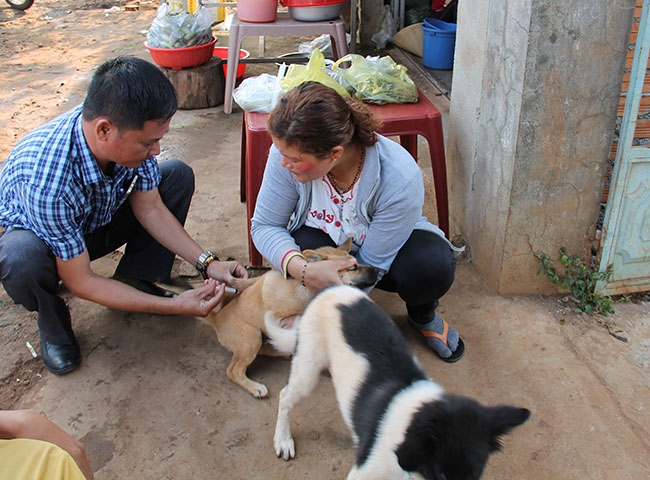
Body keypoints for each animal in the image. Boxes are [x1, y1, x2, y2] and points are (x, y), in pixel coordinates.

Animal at [200, 242, 378, 400]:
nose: (377, 269)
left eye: (357, 262)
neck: (308, 290)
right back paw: (255, 387)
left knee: (262, 349)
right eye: (353, 267)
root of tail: (216, 318)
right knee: (233, 370)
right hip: (252, 336)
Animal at [270, 286, 528, 478]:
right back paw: (283, 440)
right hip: (308, 370)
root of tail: (329, 289)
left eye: (475, 474)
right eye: (442, 474)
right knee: (285, 396)